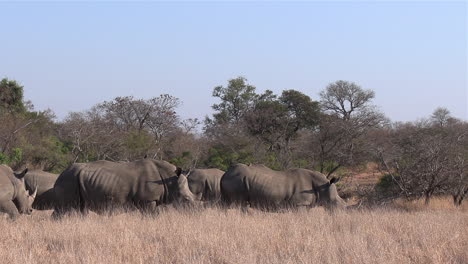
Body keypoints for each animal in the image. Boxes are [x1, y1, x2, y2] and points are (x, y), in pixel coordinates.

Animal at [53, 158, 196, 216]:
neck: (170, 180)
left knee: (82, 208)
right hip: (69, 179)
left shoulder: (150, 201)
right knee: (63, 208)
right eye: (186, 199)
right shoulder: (147, 201)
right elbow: (150, 216)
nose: (194, 213)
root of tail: (62, 173)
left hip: (75, 179)